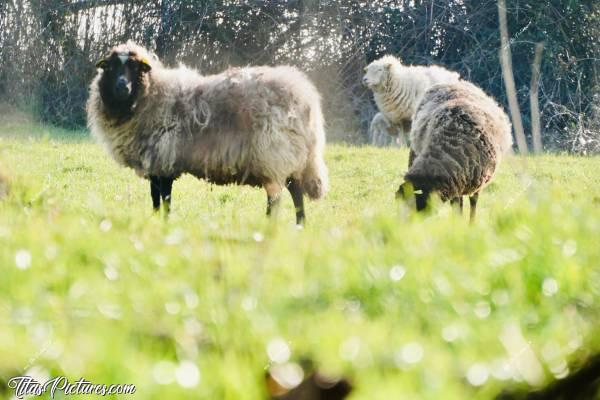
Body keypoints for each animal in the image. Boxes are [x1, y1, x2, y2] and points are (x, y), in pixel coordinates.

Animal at [86, 43, 328, 227]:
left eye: (136, 68)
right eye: (111, 67)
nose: (122, 87)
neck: (149, 95)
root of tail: (305, 97)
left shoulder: (162, 160)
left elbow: (163, 198)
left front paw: (162, 224)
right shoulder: (158, 164)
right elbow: (158, 199)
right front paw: (158, 222)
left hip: (274, 154)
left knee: (277, 197)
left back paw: (270, 225)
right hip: (290, 156)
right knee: (295, 191)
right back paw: (300, 226)